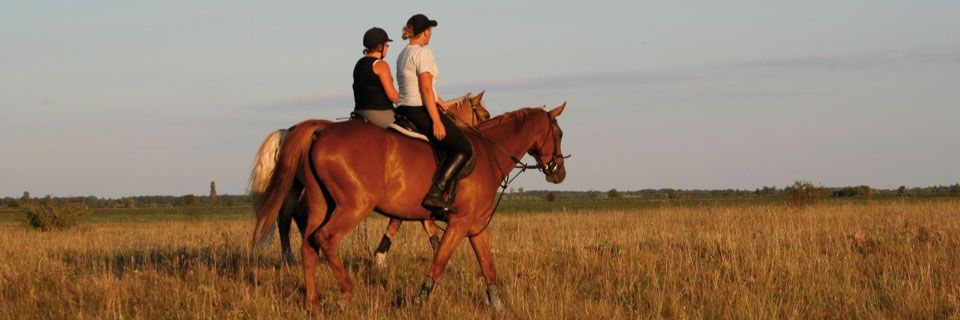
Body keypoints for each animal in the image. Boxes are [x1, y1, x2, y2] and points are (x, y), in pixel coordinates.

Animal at [248, 91, 492, 262]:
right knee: (296, 215)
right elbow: (399, 222)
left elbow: (422, 223)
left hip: (296, 185)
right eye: (486, 114)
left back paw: (292, 256)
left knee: (287, 215)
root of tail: (291, 131)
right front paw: (381, 256)